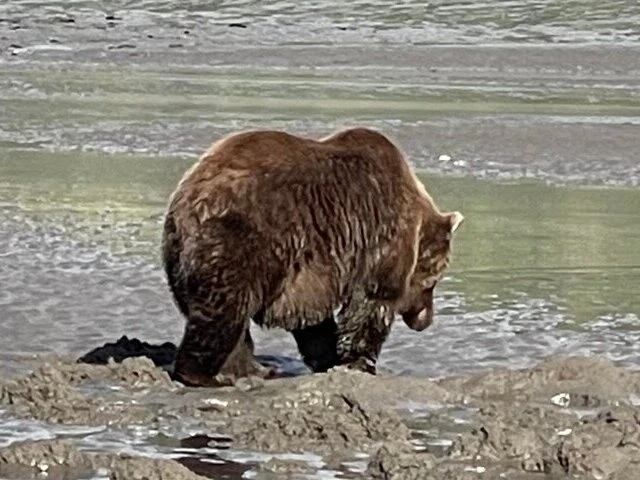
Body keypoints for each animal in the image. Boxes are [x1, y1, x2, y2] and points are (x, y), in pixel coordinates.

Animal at [161, 127, 464, 387]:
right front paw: (360, 362)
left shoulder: (313, 272)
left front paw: (329, 357)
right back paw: (206, 375)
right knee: (222, 309)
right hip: (241, 239)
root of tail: (189, 199)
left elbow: (312, 320)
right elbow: (371, 303)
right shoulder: (381, 237)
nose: (424, 321)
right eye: (433, 281)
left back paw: (255, 369)